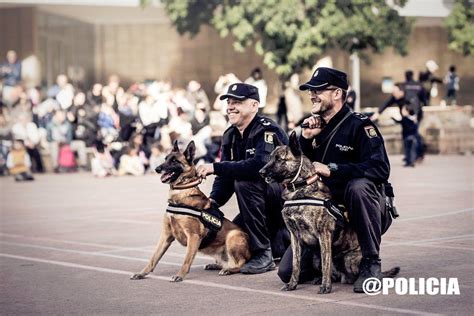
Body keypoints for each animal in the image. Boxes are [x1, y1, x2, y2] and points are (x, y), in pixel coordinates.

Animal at [129, 141, 248, 282]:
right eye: (165, 159)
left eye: (174, 161)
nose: (157, 169)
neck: (182, 192)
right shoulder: (166, 235)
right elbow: (154, 257)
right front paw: (142, 273)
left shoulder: (193, 236)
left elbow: (186, 260)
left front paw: (180, 275)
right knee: (228, 262)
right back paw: (216, 265)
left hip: (233, 235)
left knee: (241, 263)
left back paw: (229, 270)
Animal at [258, 131, 398, 294]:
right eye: (270, 158)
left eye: (279, 159)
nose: (260, 172)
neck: (300, 189)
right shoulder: (294, 237)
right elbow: (295, 265)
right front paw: (292, 284)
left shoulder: (324, 234)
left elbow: (326, 264)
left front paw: (326, 286)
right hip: (315, 258)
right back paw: (318, 279)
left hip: (348, 259)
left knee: (346, 273)